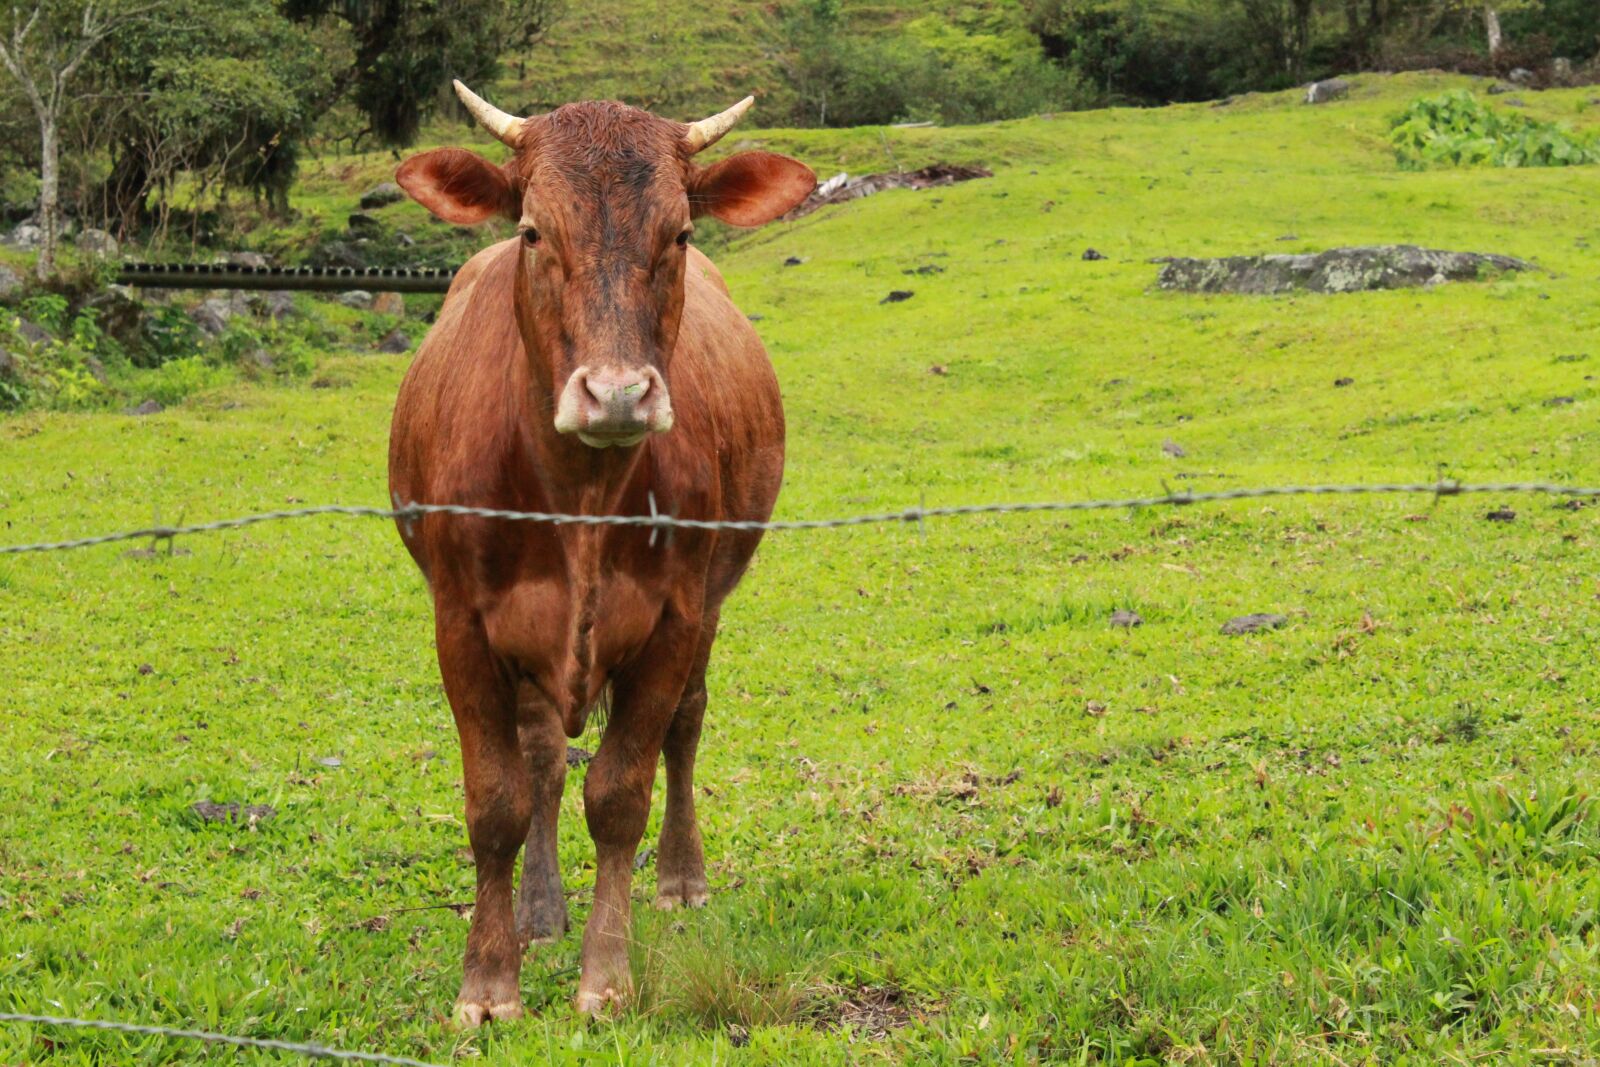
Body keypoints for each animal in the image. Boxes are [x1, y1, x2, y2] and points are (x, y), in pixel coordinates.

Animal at [387, 81, 815, 1025]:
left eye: (680, 234)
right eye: (533, 231)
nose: (616, 395)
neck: (579, 492)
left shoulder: (674, 618)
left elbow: (621, 793)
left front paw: (606, 974)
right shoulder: (460, 626)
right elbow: (498, 800)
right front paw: (489, 981)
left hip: (711, 601)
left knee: (685, 725)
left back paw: (682, 876)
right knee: (544, 755)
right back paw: (541, 910)